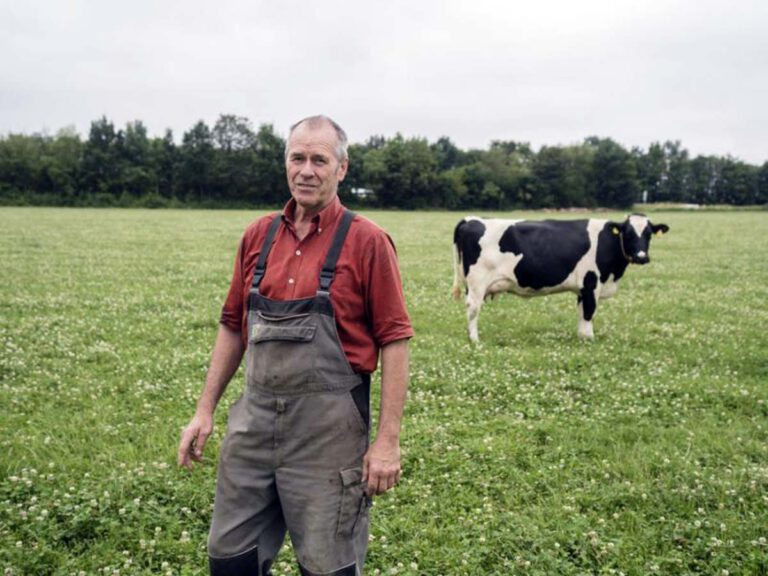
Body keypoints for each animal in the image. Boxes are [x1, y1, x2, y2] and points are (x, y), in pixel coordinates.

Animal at [452, 216, 668, 342]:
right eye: (628, 233)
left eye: (649, 234)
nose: (641, 257)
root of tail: (470, 219)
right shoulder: (591, 283)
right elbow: (589, 313)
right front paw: (590, 339)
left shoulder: (583, 288)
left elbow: (581, 313)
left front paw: (582, 337)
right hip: (477, 282)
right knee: (473, 308)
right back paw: (474, 339)